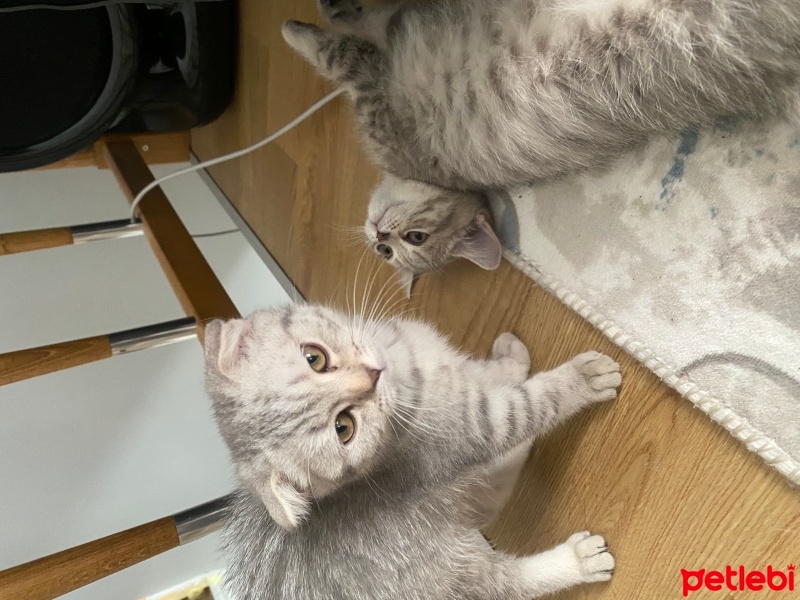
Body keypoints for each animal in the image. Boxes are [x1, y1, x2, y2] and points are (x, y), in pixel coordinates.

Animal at [203, 304, 620, 600]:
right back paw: (579, 559)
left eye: (314, 358)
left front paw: (510, 357)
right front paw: (582, 379)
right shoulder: (478, 426)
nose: (371, 377)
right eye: (344, 428)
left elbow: (489, 375)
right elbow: (531, 404)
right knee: (505, 584)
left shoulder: (460, 383)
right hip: (448, 563)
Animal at [282, 0, 800, 290]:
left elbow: (337, 48)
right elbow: (363, 25)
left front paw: (298, 26)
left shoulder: (375, 88)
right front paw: (329, 10)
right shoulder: (388, 52)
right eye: (388, 253)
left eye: (414, 241)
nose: (379, 237)